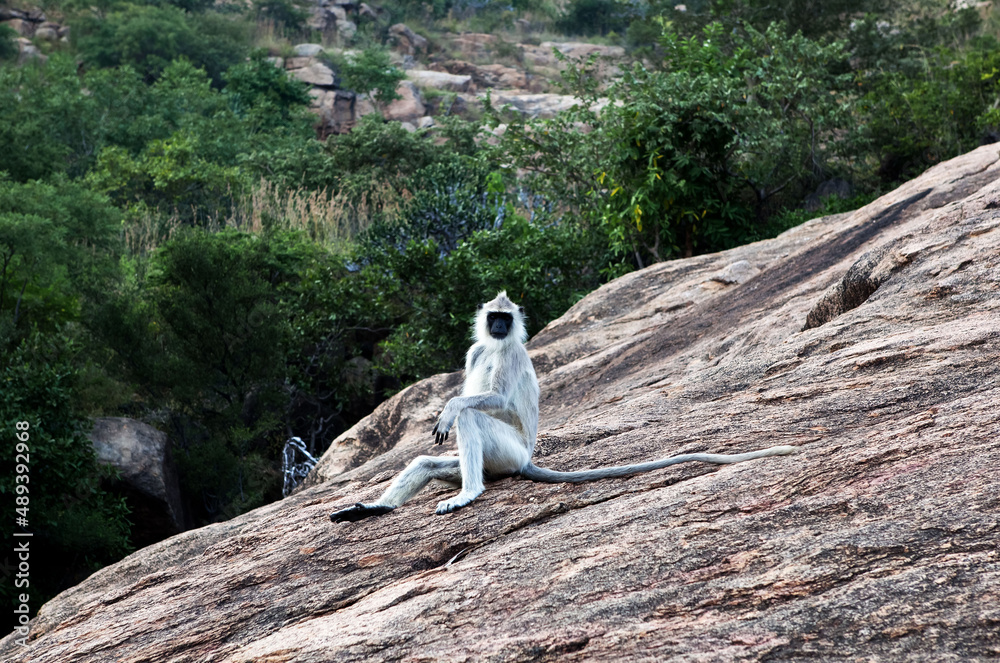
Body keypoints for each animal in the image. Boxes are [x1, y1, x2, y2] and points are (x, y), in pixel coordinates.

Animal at [330, 291, 796, 523]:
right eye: (493, 316)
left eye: (505, 318)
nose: (497, 325)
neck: (495, 345)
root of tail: (525, 460)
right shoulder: (476, 350)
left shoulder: (511, 353)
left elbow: (486, 401)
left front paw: (449, 407)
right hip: (493, 461)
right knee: (427, 463)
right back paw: (373, 509)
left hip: (507, 453)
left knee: (472, 417)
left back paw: (468, 492)